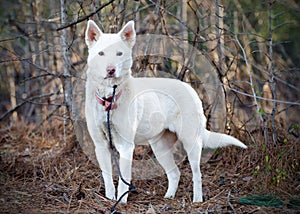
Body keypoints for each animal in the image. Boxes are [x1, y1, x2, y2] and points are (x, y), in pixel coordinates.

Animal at [84, 19, 246, 202]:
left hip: (191, 143)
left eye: (119, 53)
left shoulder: (126, 146)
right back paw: (169, 196)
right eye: (101, 53)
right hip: (160, 148)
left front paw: (121, 202)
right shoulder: (101, 145)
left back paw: (197, 200)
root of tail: (190, 89)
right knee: (175, 173)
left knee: (197, 174)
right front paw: (110, 199)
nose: (110, 70)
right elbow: (107, 177)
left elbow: (123, 180)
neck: (108, 99)